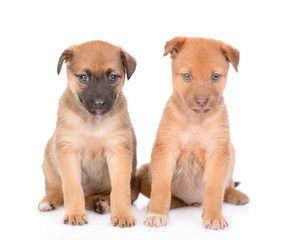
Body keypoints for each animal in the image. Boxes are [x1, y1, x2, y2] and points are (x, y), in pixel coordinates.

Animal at [38, 39, 140, 227]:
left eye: (112, 77)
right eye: (83, 77)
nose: (99, 103)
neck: (93, 122)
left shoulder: (119, 152)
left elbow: (120, 189)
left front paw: (122, 214)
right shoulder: (68, 152)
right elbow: (72, 188)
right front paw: (75, 214)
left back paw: (100, 203)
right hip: (49, 159)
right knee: (57, 189)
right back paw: (49, 201)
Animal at [140, 36, 251, 230]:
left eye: (215, 76)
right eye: (187, 76)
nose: (201, 101)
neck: (195, 120)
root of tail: (194, 202)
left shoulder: (218, 153)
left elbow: (215, 190)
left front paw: (214, 216)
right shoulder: (165, 149)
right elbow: (161, 188)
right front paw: (156, 213)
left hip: (231, 151)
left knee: (227, 186)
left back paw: (237, 195)